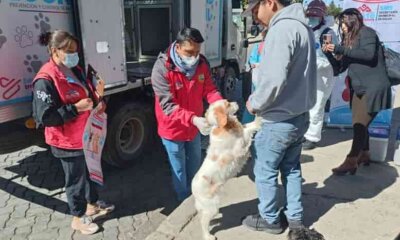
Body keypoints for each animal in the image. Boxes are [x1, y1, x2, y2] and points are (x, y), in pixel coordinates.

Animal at [191, 99, 262, 240]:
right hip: (212, 207)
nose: (237, 102)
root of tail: (193, 190)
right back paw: (208, 236)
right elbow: (248, 131)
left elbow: (247, 126)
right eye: (227, 104)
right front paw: (258, 120)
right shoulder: (239, 147)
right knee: (203, 222)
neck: (224, 127)